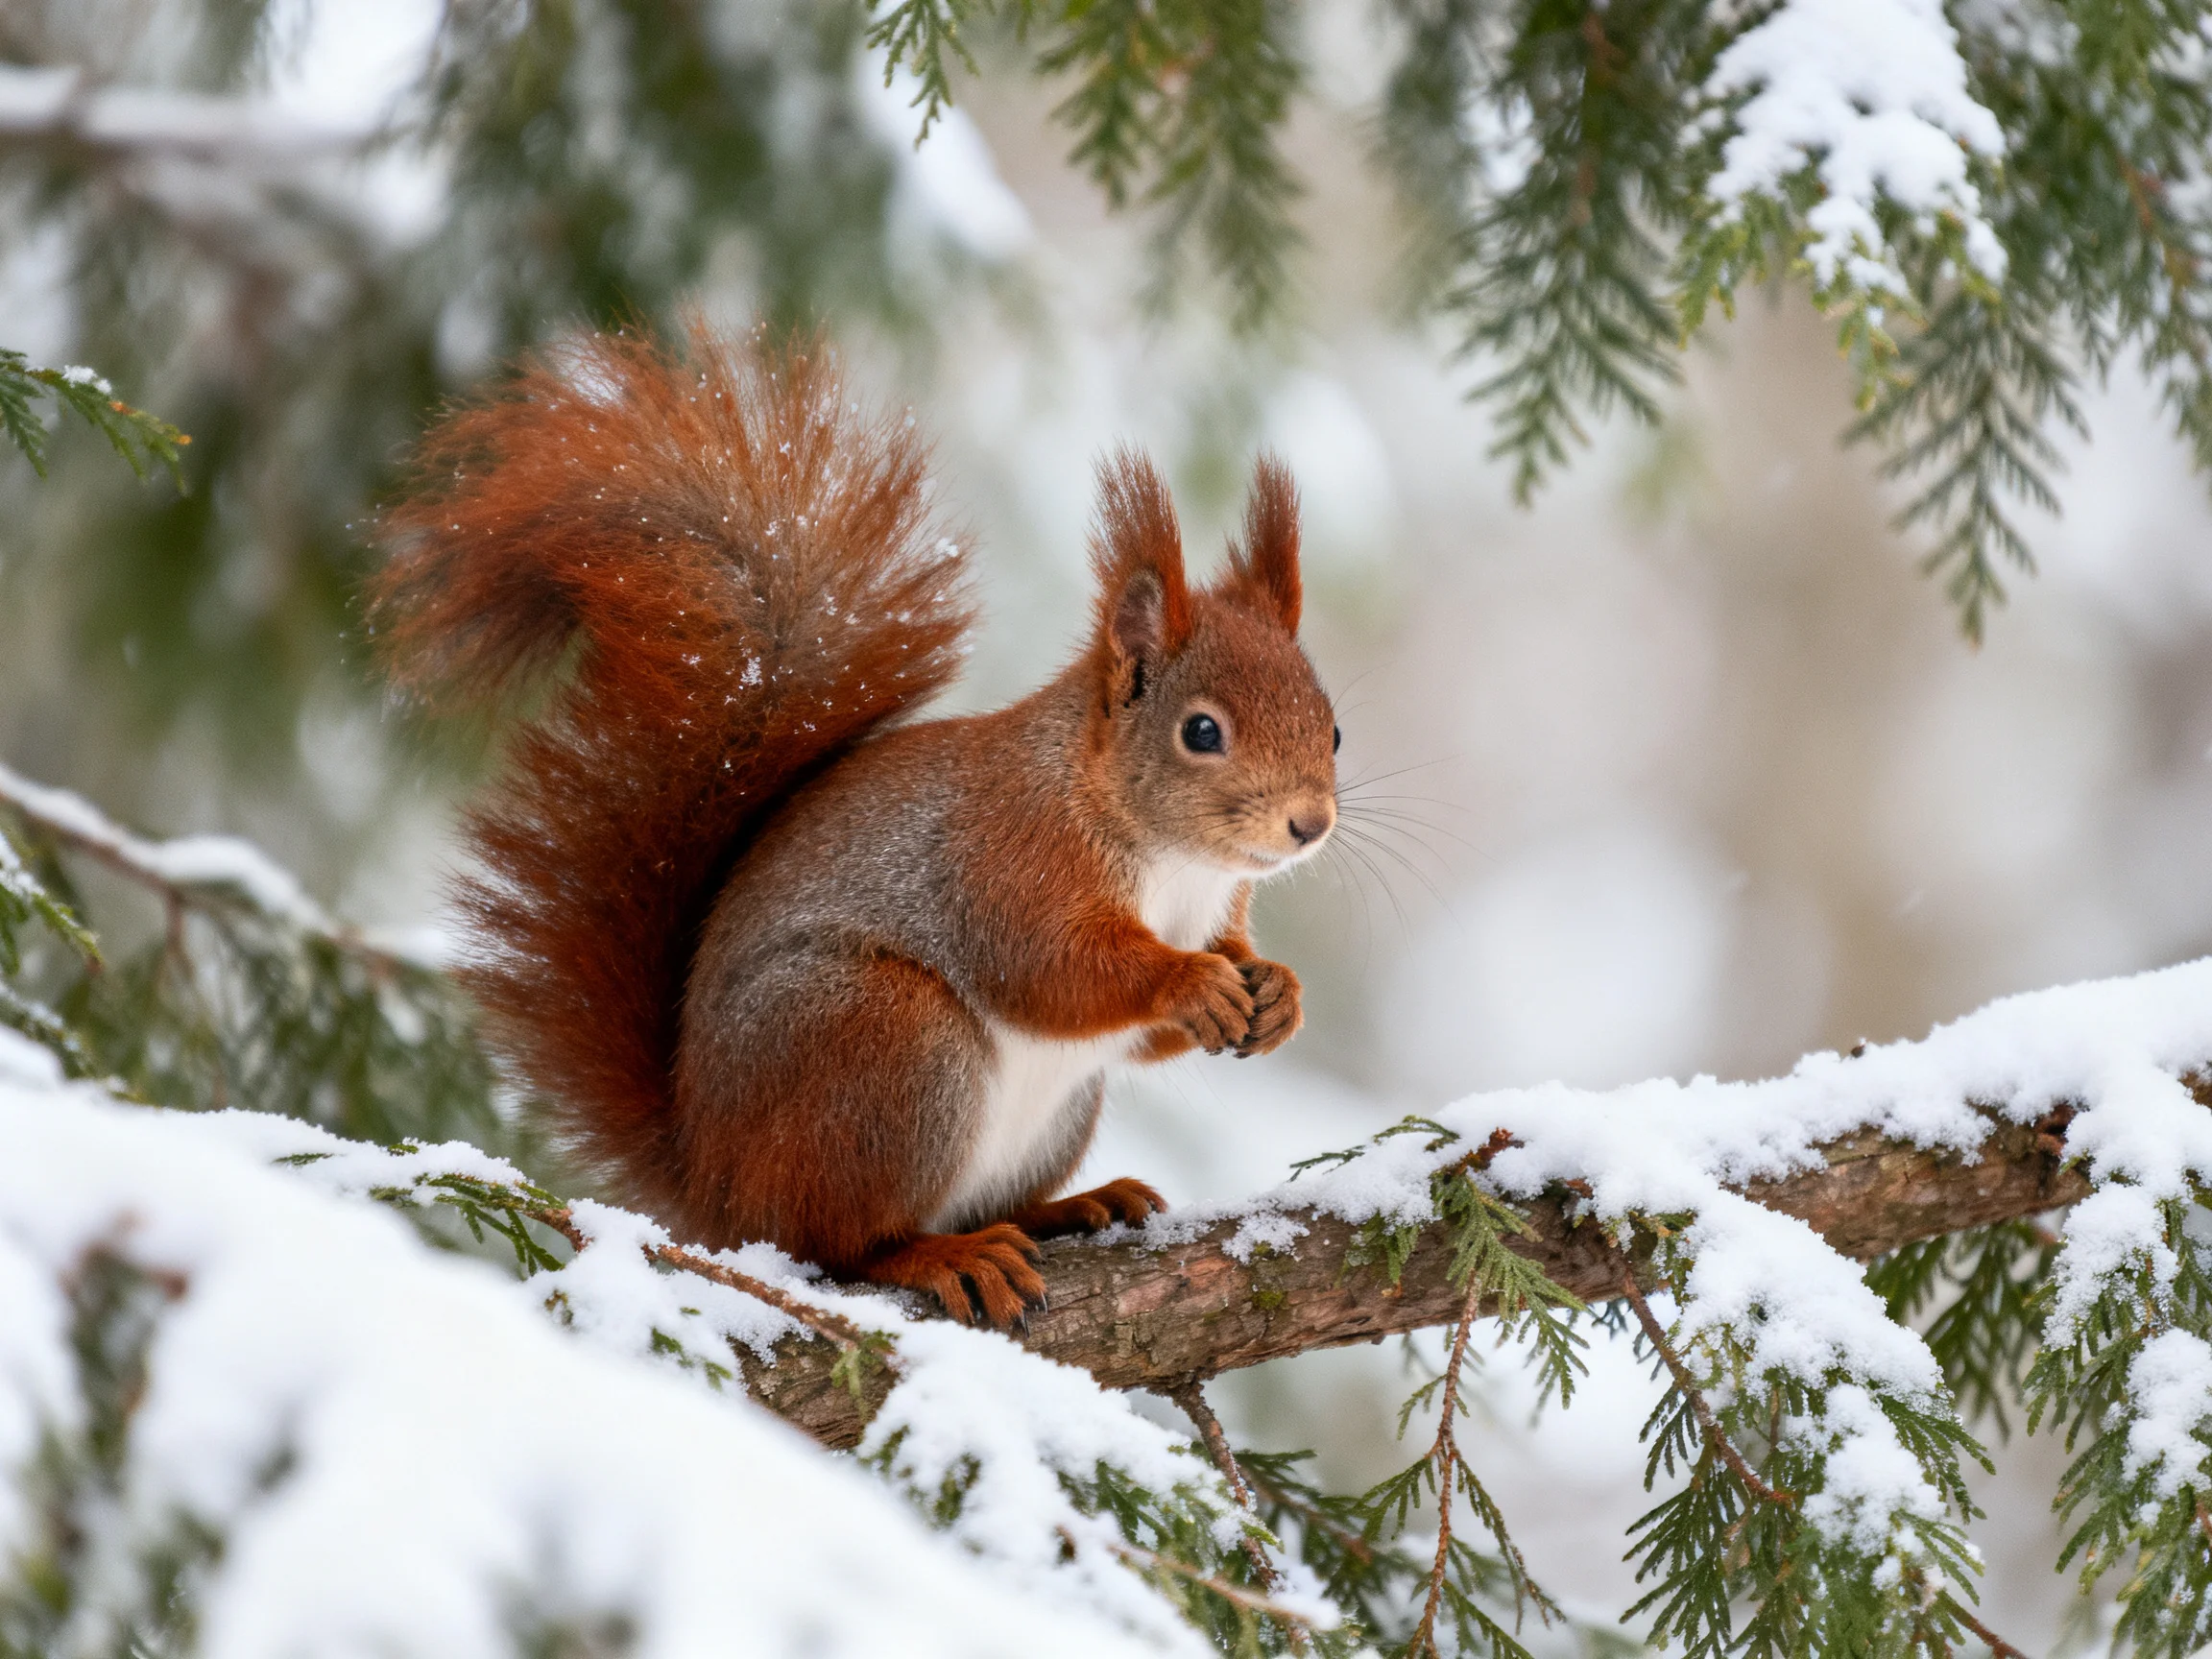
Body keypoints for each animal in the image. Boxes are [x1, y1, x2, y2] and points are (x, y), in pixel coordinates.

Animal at [370, 325, 1339, 1326]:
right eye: (1202, 732)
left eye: (1334, 727)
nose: (1310, 824)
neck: (1172, 859)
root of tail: (715, 1191)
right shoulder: (1011, 856)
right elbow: (1050, 969)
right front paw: (1188, 982)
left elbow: (1150, 1021)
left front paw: (1277, 991)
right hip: (886, 1042)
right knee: (837, 1242)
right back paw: (941, 1255)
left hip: (1047, 1108)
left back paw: (1072, 1206)